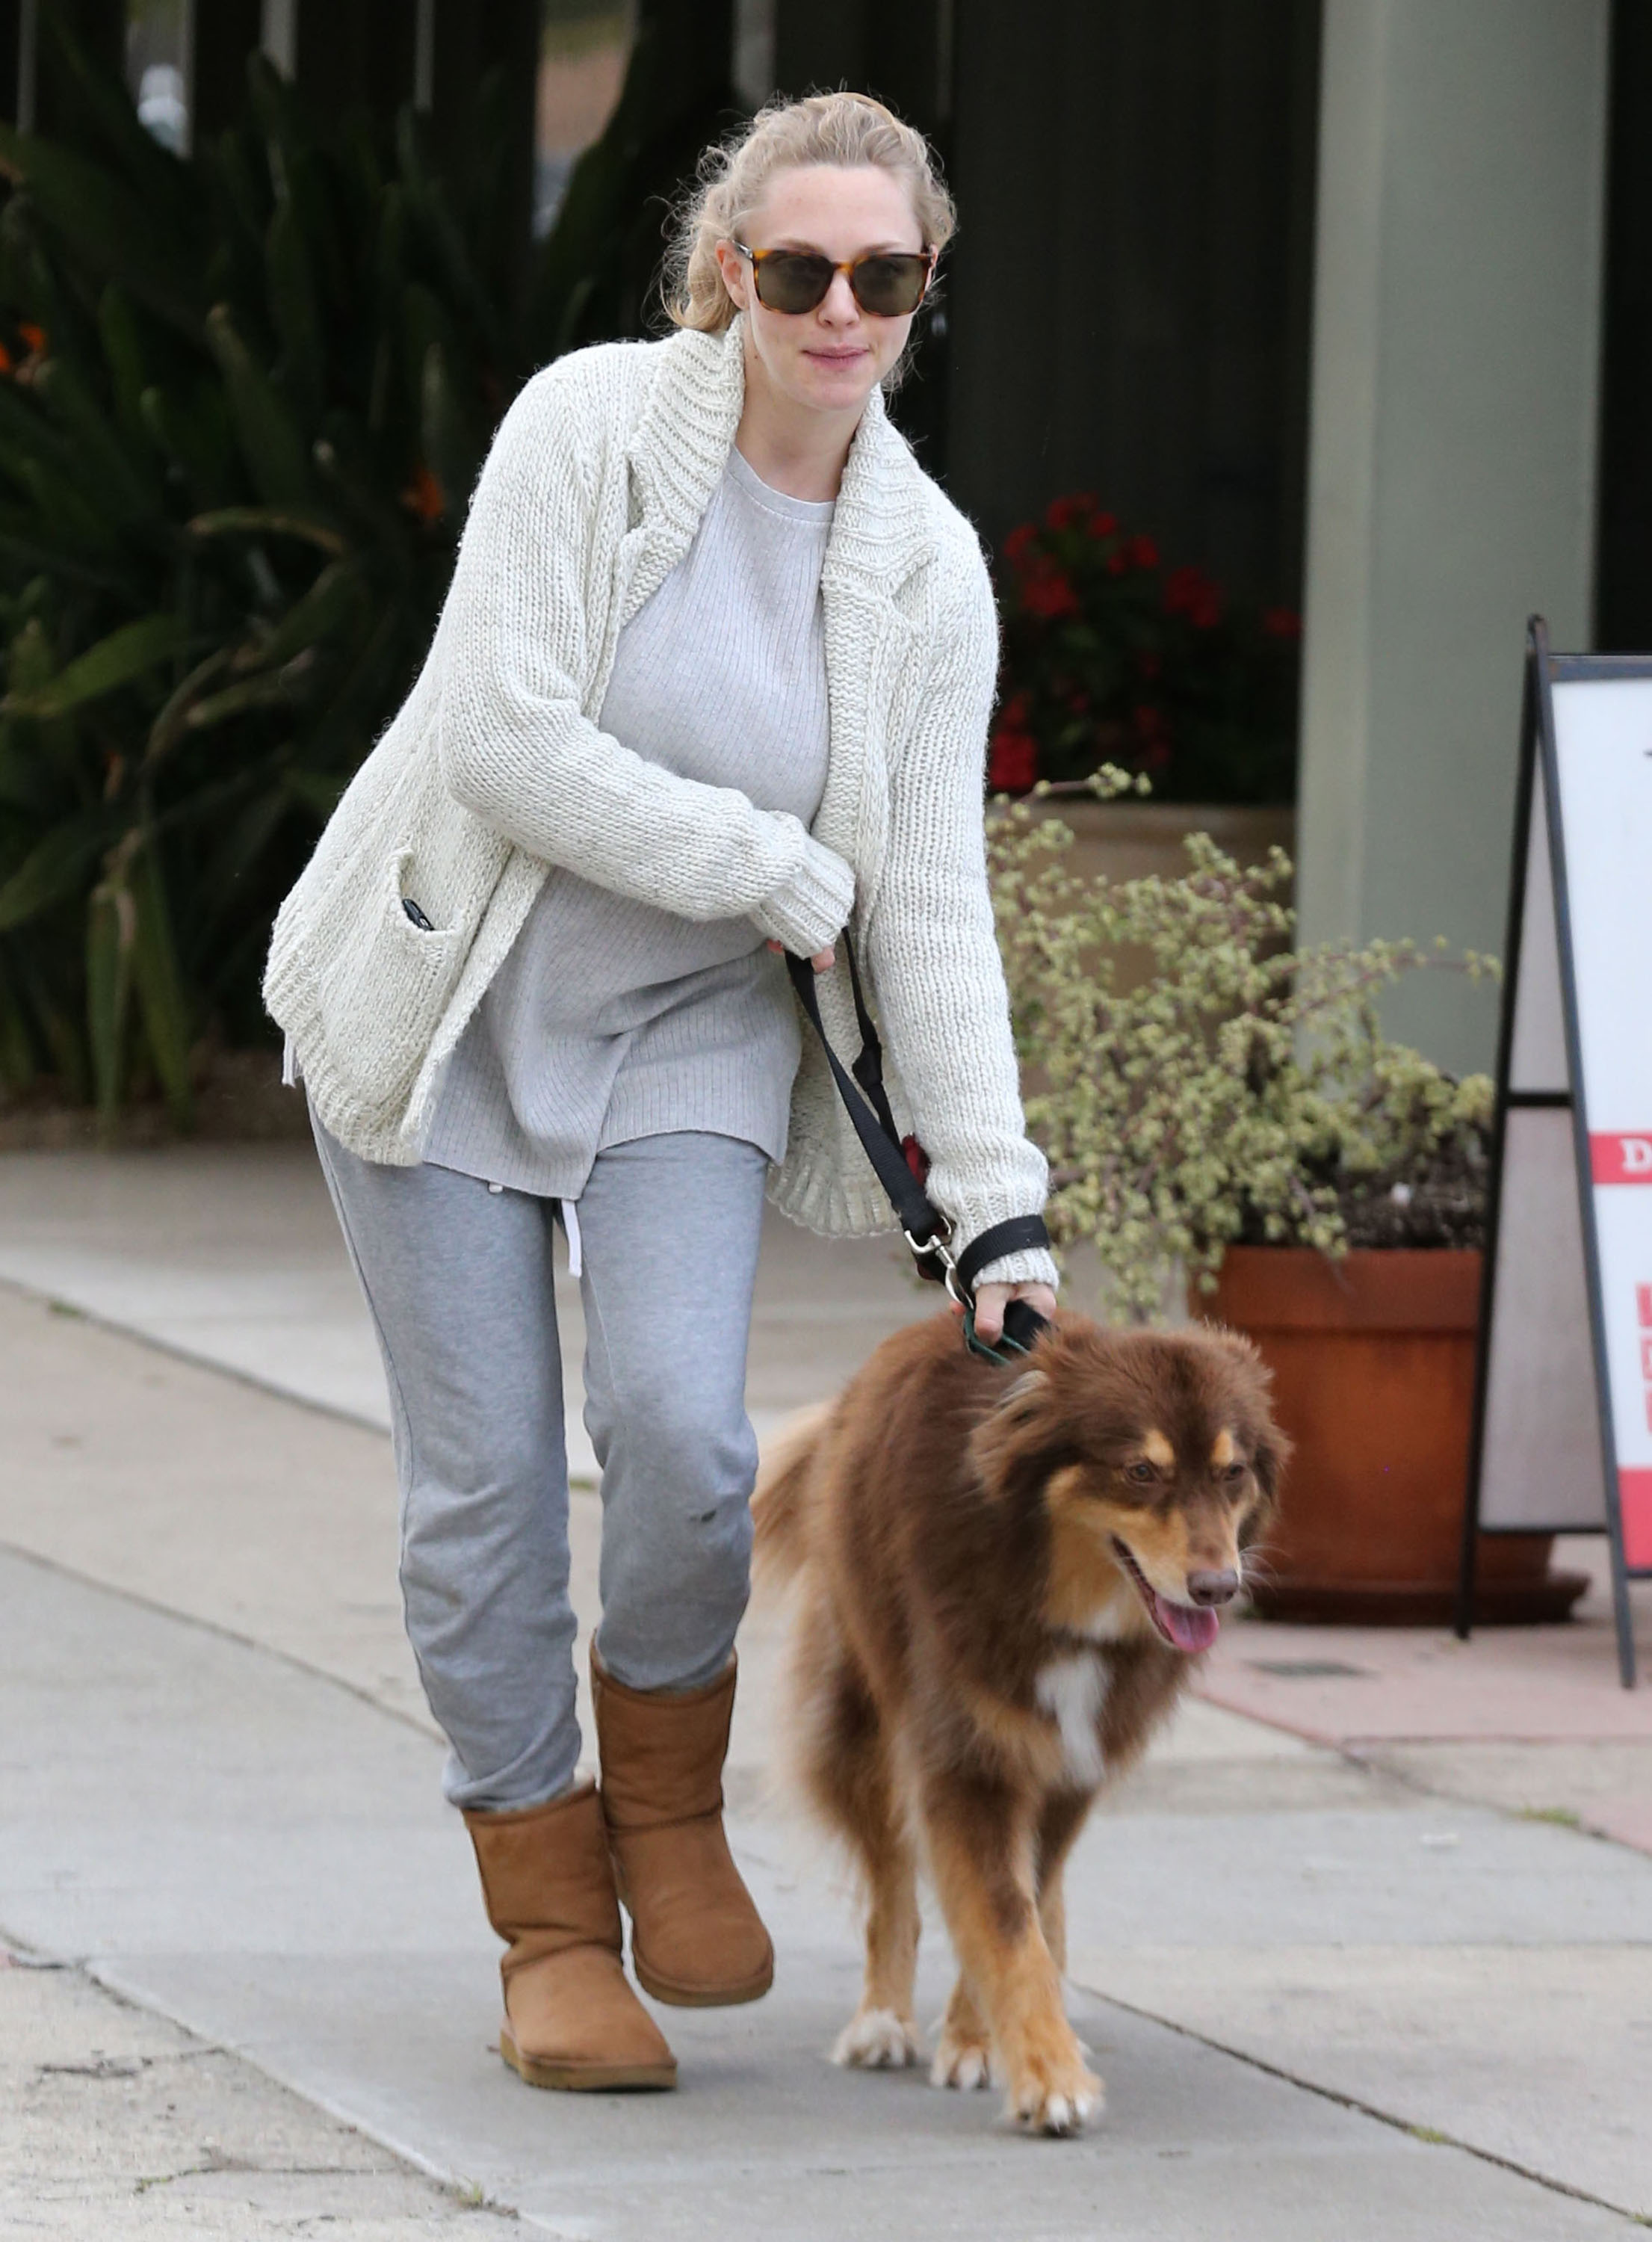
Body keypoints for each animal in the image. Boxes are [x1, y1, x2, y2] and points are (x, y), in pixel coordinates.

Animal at [752, 1307, 1285, 2136]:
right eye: (1140, 1471)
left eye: (1233, 1473)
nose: (1217, 1588)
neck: (1057, 1603)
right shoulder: (967, 1760)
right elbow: (1002, 1922)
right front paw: (1049, 2078)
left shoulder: (1071, 1762)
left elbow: (1020, 1908)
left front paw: (985, 2042)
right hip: (861, 1723)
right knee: (891, 1882)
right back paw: (882, 2020)